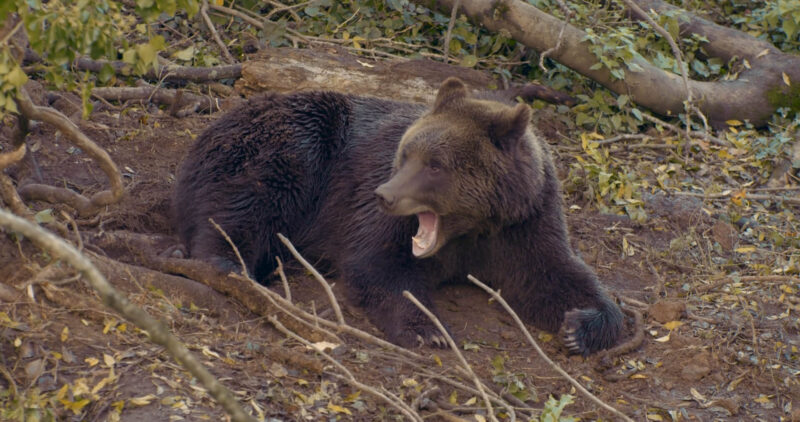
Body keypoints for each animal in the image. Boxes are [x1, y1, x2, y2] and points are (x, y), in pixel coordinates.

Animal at [175, 77, 624, 354]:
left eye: (436, 165)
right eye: (406, 154)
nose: (386, 195)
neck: (472, 228)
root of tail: (214, 122)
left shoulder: (524, 225)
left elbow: (554, 276)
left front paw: (579, 327)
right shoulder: (370, 210)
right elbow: (379, 265)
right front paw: (429, 330)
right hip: (292, 144)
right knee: (250, 197)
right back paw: (228, 261)